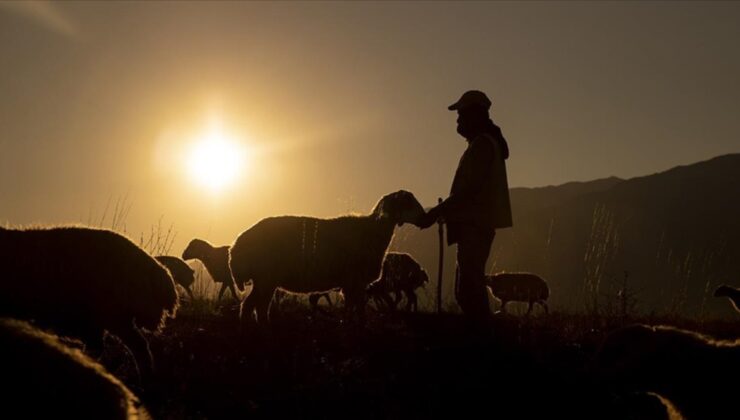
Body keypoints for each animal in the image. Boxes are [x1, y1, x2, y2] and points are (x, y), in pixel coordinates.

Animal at [231, 190, 428, 324]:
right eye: (407, 203)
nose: (424, 219)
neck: (372, 231)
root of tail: (236, 246)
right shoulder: (355, 282)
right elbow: (357, 312)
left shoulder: (351, 284)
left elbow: (351, 310)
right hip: (265, 278)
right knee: (251, 306)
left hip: (265, 280)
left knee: (256, 307)